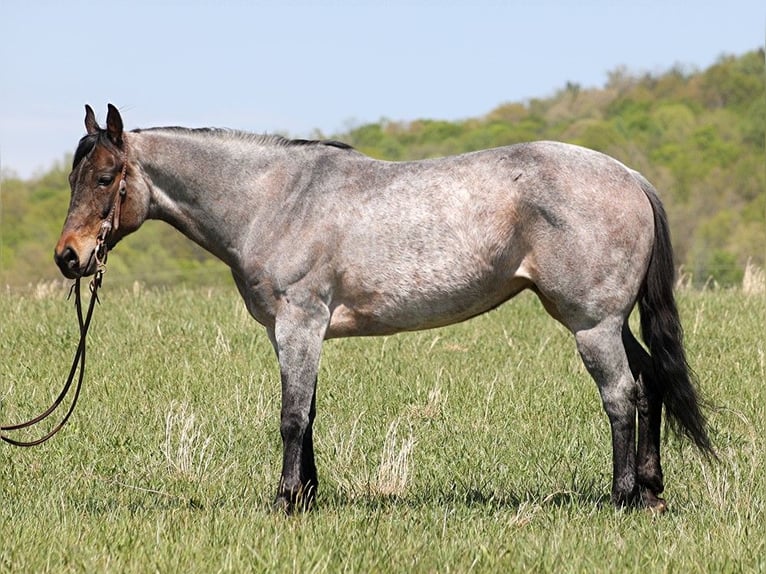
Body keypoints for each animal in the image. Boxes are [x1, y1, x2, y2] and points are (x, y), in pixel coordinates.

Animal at [54, 106, 712, 516]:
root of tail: (628, 175)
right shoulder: (300, 333)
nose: (69, 257)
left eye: (107, 177)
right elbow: (308, 414)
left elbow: (291, 416)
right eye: (72, 177)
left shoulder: (299, 325)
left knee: (621, 396)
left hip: (591, 325)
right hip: (607, 323)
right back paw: (651, 493)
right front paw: (308, 497)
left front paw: (285, 501)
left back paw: (622, 497)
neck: (274, 198)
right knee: (651, 383)